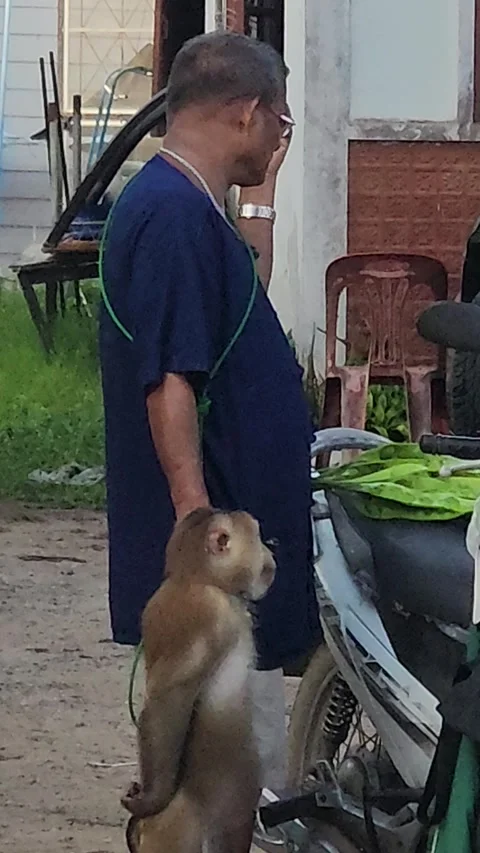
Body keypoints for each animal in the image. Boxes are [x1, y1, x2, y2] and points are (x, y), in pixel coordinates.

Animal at [121, 506, 276, 853]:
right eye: (257, 534)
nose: (270, 555)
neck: (192, 576)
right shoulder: (210, 616)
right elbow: (168, 700)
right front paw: (153, 798)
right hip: (184, 828)